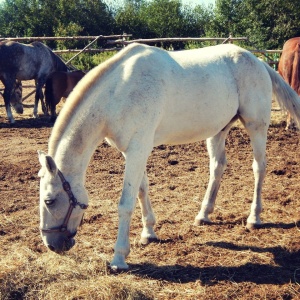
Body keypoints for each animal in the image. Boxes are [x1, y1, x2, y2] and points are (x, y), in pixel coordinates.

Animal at [37, 43, 300, 270]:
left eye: (49, 200)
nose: (52, 245)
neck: (118, 92)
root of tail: (258, 61)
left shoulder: (138, 149)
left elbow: (126, 203)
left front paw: (119, 258)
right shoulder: (134, 151)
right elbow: (142, 190)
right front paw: (148, 233)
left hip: (256, 126)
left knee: (259, 167)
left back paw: (254, 218)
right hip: (218, 130)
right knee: (217, 167)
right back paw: (204, 214)